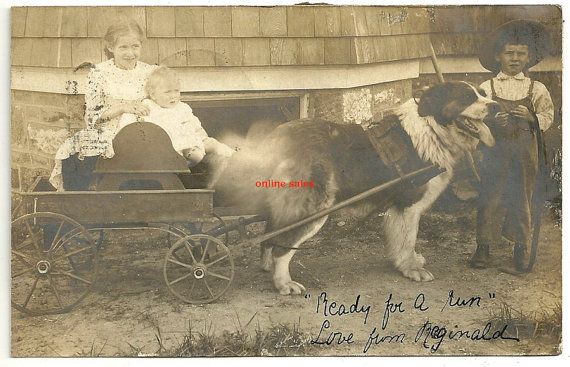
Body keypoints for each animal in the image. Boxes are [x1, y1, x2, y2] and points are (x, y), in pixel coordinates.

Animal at [214, 82, 496, 296]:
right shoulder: (408, 205)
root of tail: (278, 136)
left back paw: (267, 267)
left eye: (482, 92)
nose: (496, 106)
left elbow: (403, 241)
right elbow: (407, 239)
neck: (431, 129)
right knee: (282, 245)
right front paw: (411, 269)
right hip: (312, 208)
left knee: (270, 236)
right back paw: (283, 283)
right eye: (468, 97)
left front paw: (411, 261)